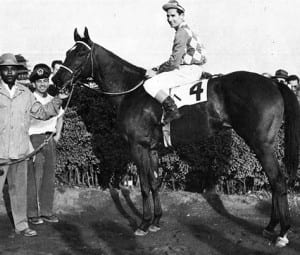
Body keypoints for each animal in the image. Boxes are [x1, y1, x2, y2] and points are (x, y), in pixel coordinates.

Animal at [52, 27, 298, 247]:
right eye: (67, 52)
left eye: (80, 53)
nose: (57, 80)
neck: (131, 92)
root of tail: (273, 82)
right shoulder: (151, 149)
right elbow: (153, 183)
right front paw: (156, 221)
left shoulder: (137, 146)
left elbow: (143, 186)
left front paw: (143, 224)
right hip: (264, 144)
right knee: (275, 180)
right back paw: (270, 227)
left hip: (260, 143)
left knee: (278, 180)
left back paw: (282, 232)